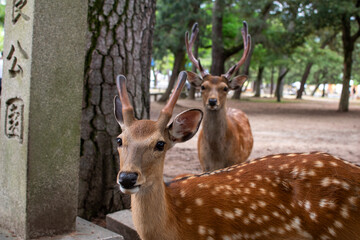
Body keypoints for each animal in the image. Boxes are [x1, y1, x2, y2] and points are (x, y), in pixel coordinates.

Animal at [186, 20, 253, 171]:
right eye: (203, 86)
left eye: (225, 88)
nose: (212, 101)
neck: (217, 158)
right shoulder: (204, 165)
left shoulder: (235, 161)